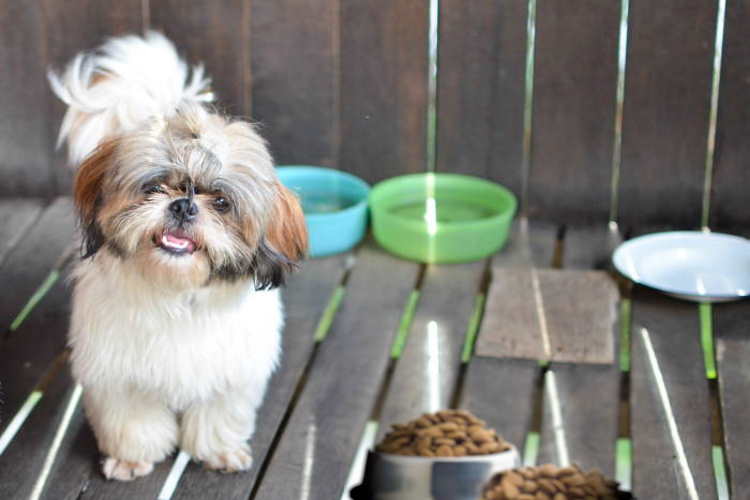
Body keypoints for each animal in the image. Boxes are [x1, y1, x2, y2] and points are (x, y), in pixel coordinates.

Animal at [48, 32, 306, 480]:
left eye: (220, 202)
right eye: (155, 188)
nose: (184, 206)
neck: (177, 293)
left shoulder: (230, 373)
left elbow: (219, 412)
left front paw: (219, 451)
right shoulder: (119, 373)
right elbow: (135, 420)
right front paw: (133, 458)